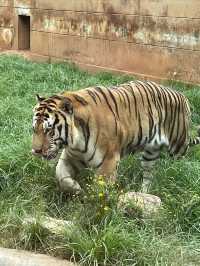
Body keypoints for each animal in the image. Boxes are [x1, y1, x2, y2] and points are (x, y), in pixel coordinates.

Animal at [31, 80, 200, 192]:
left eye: (49, 130)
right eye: (34, 129)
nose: (36, 151)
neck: (75, 140)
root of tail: (183, 96)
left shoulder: (109, 161)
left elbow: (99, 192)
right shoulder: (71, 156)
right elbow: (60, 174)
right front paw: (75, 188)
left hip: (178, 147)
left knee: (182, 166)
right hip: (150, 154)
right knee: (148, 175)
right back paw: (143, 194)